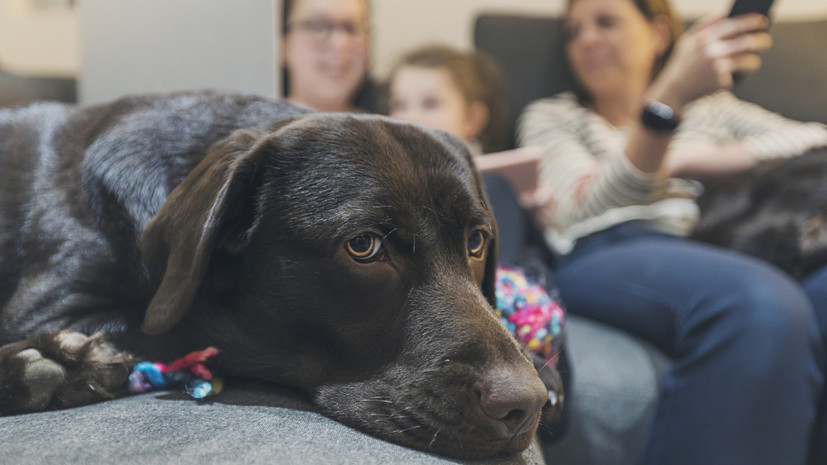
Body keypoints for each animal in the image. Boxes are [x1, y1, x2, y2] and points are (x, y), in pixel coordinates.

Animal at [0, 90, 560, 456]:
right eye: (363, 246)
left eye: (475, 242)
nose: (524, 404)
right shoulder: (52, 309)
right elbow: (166, 328)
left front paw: (542, 367)